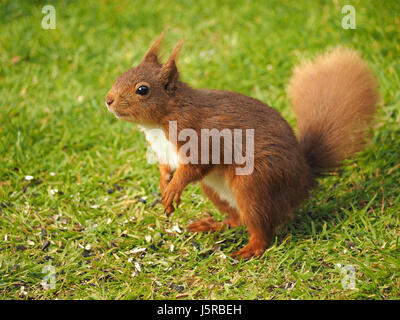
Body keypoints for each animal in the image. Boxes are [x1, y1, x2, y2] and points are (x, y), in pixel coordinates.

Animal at [104, 31, 378, 258]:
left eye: (142, 90)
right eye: (120, 76)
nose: (108, 100)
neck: (163, 119)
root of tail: (304, 181)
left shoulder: (202, 137)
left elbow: (196, 166)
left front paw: (173, 189)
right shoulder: (164, 153)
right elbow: (165, 169)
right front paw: (165, 187)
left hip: (253, 183)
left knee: (261, 228)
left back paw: (250, 249)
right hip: (214, 190)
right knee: (238, 219)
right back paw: (212, 225)